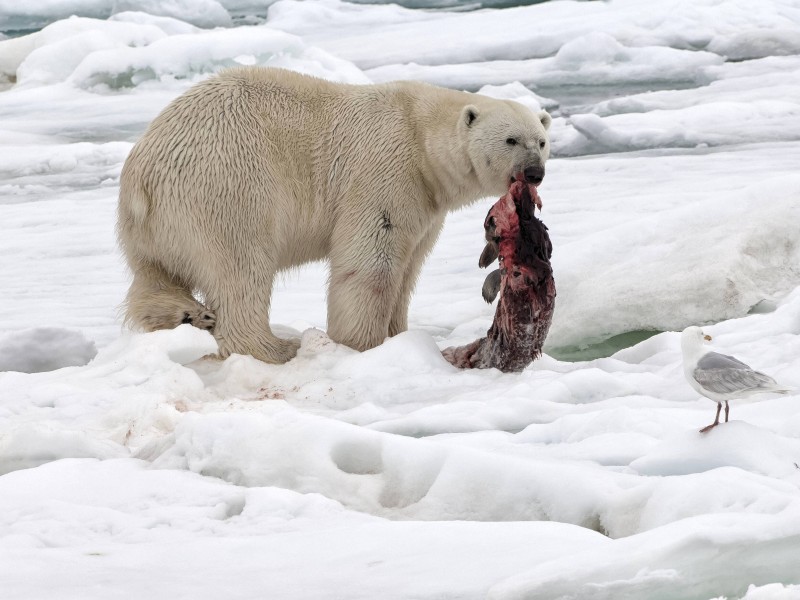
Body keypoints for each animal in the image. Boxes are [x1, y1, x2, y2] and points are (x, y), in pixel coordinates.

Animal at [117, 68, 552, 364]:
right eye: (511, 139)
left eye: (542, 141)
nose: (534, 172)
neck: (422, 135)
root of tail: (143, 169)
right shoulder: (387, 171)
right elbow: (371, 261)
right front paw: (363, 344)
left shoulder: (426, 203)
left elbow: (409, 266)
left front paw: (399, 334)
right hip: (229, 185)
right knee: (241, 268)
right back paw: (276, 347)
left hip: (155, 224)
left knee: (153, 275)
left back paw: (187, 314)